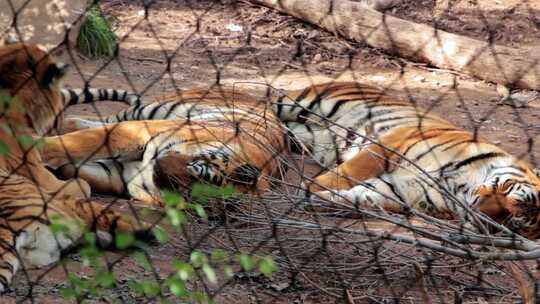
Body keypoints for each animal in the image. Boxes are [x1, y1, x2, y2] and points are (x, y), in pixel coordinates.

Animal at [41, 88, 288, 207]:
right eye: (198, 167)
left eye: (191, 187)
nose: (160, 170)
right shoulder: (135, 132)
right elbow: (74, 143)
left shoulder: (117, 174)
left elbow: (77, 171)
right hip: (149, 111)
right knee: (74, 120)